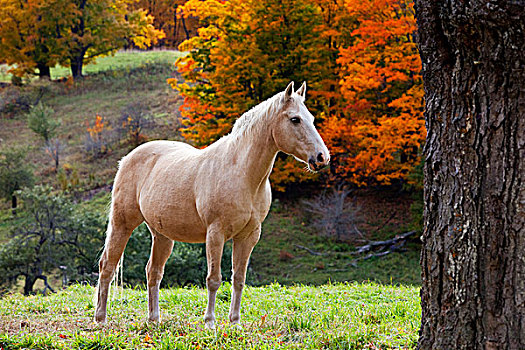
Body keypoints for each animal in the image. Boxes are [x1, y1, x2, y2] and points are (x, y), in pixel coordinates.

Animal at [93, 81, 328, 328]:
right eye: (295, 119)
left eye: (311, 118)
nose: (322, 157)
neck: (241, 172)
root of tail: (127, 158)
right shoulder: (216, 233)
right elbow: (214, 279)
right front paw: (210, 322)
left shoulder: (248, 236)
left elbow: (239, 279)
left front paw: (235, 322)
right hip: (122, 223)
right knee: (107, 265)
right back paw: (100, 318)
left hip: (162, 235)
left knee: (153, 271)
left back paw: (154, 319)